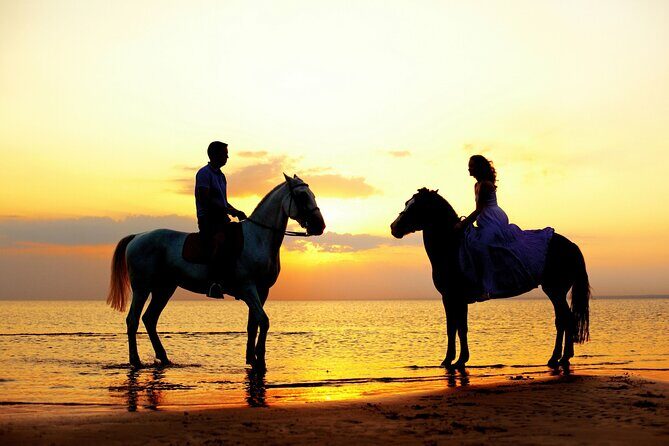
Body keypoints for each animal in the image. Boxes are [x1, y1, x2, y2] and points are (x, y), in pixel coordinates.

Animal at [107, 174, 325, 370]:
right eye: (302, 196)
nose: (320, 226)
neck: (258, 237)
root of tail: (138, 236)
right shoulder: (248, 287)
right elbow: (263, 321)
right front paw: (260, 361)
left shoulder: (262, 291)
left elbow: (253, 324)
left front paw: (252, 359)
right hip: (142, 288)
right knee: (133, 320)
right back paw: (135, 361)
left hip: (164, 288)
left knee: (149, 319)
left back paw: (164, 358)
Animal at [390, 188, 590, 370]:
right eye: (407, 203)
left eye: (415, 207)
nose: (393, 227)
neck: (452, 246)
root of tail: (571, 245)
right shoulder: (456, 299)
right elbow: (458, 327)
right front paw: (456, 360)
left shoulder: (452, 297)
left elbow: (455, 327)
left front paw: (453, 360)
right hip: (556, 292)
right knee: (563, 320)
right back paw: (559, 358)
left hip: (555, 290)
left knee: (565, 319)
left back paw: (561, 358)